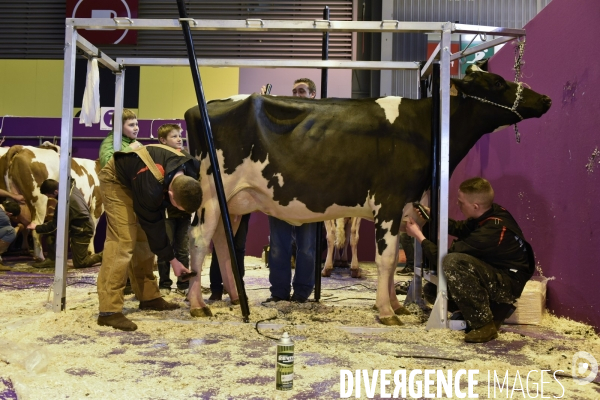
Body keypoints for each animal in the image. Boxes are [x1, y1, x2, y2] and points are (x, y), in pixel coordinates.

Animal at [184, 69, 552, 324]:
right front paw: (386, 311)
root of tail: (204, 105)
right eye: (497, 82)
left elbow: (391, 256)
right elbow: (385, 258)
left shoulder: (403, 206)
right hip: (212, 192)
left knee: (222, 243)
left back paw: (234, 298)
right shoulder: (388, 201)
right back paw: (198, 305)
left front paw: (396, 306)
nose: (545, 100)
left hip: (233, 201)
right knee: (200, 240)